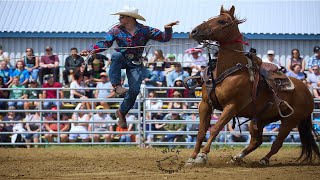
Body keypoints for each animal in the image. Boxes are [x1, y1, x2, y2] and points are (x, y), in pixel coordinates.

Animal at [186, 5, 318, 166]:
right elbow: (200, 132)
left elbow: (215, 129)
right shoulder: (205, 104)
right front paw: (192, 157)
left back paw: (263, 160)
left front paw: (202, 156)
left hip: (290, 120)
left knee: (277, 144)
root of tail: (308, 92)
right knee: (256, 141)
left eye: (221, 21)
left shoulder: (232, 107)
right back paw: (237, 158)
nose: (194, 31)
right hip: (261, 119)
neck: (229, 72)